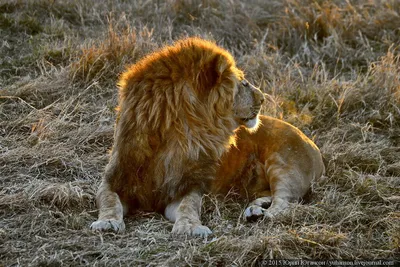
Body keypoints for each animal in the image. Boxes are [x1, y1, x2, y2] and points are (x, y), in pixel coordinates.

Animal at [91, 37, 266, 237]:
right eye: (242, 83)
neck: (178, 136)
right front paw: (107, 222)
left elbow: (188, 205)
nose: (263, 98)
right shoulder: (114, 179)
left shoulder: (189, 186)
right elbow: (109, 200)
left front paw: (190, 227)